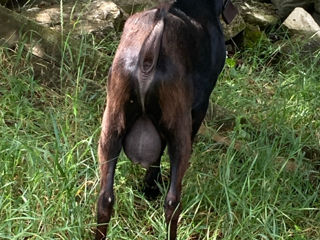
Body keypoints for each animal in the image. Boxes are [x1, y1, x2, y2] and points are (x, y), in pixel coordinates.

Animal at [95, 0, 235, 240]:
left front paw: (148, 187)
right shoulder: (199, 107)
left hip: (111, 127)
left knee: (105, 200)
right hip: (179, 130)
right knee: (172, 203)